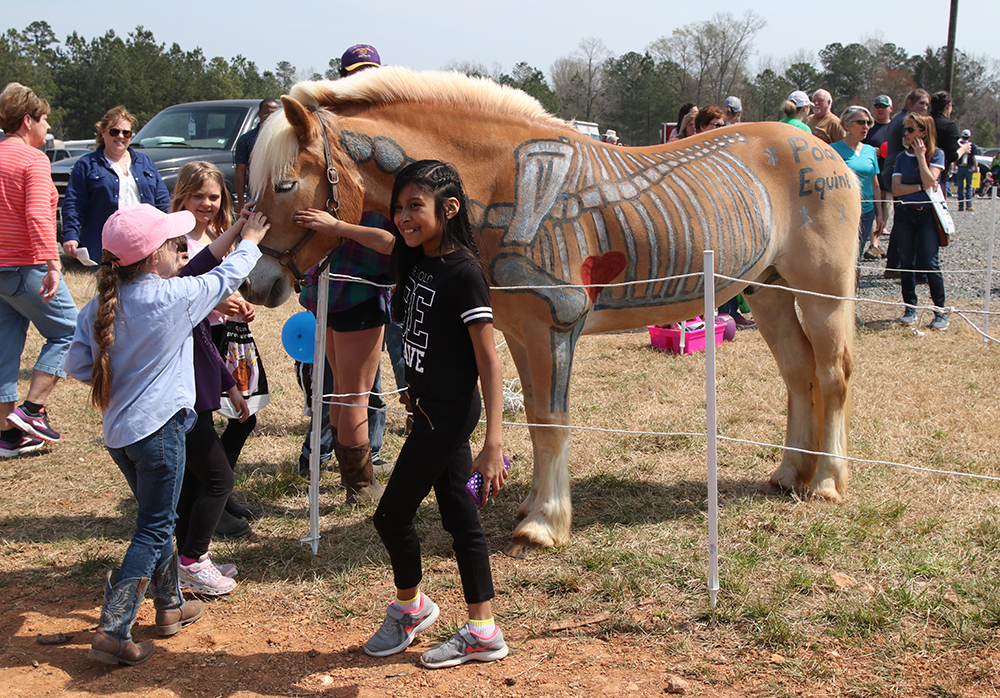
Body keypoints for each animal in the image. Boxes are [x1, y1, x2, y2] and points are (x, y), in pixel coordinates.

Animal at [244, 66, 860, 556]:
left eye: (285, 184)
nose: (256, 283)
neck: (500, 183)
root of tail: (827, 152)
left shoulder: (553, 327)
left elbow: (553, 420)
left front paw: (544, 523)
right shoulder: (518, 332)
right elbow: (538, 418)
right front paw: (535, 508)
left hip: (823, 294)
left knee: (831, 376)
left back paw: (827, 482)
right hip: (769, 291)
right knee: (798, 373)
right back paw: (789, 473)